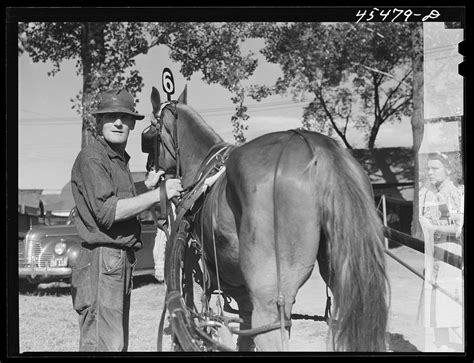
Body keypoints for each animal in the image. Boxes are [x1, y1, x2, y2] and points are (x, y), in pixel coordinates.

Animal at [148, 86, 388, 352]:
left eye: (148, 134)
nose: (151, 173)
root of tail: (315, 147)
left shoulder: (198, 269)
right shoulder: (241, 291)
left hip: (269, 293)